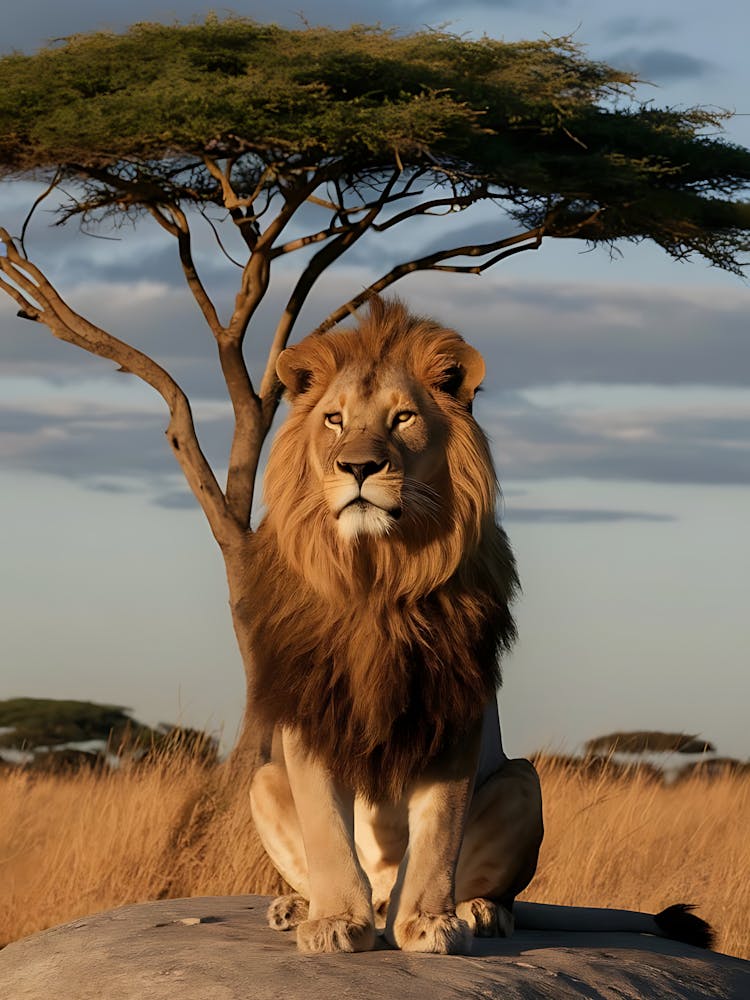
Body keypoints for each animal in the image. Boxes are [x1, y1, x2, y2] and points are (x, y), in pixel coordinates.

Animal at [246, 298, 712, 954]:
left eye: (403, 418)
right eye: (334, 420)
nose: (359, 466)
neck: (375, 578)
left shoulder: (455, 704)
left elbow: (440, 828)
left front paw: (428, 924)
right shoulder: (313, 710)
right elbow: (327, 832)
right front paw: (335, 922)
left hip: (524, 781)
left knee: (494, 887)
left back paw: (476, 913)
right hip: (264, 778)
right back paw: (299, 907)